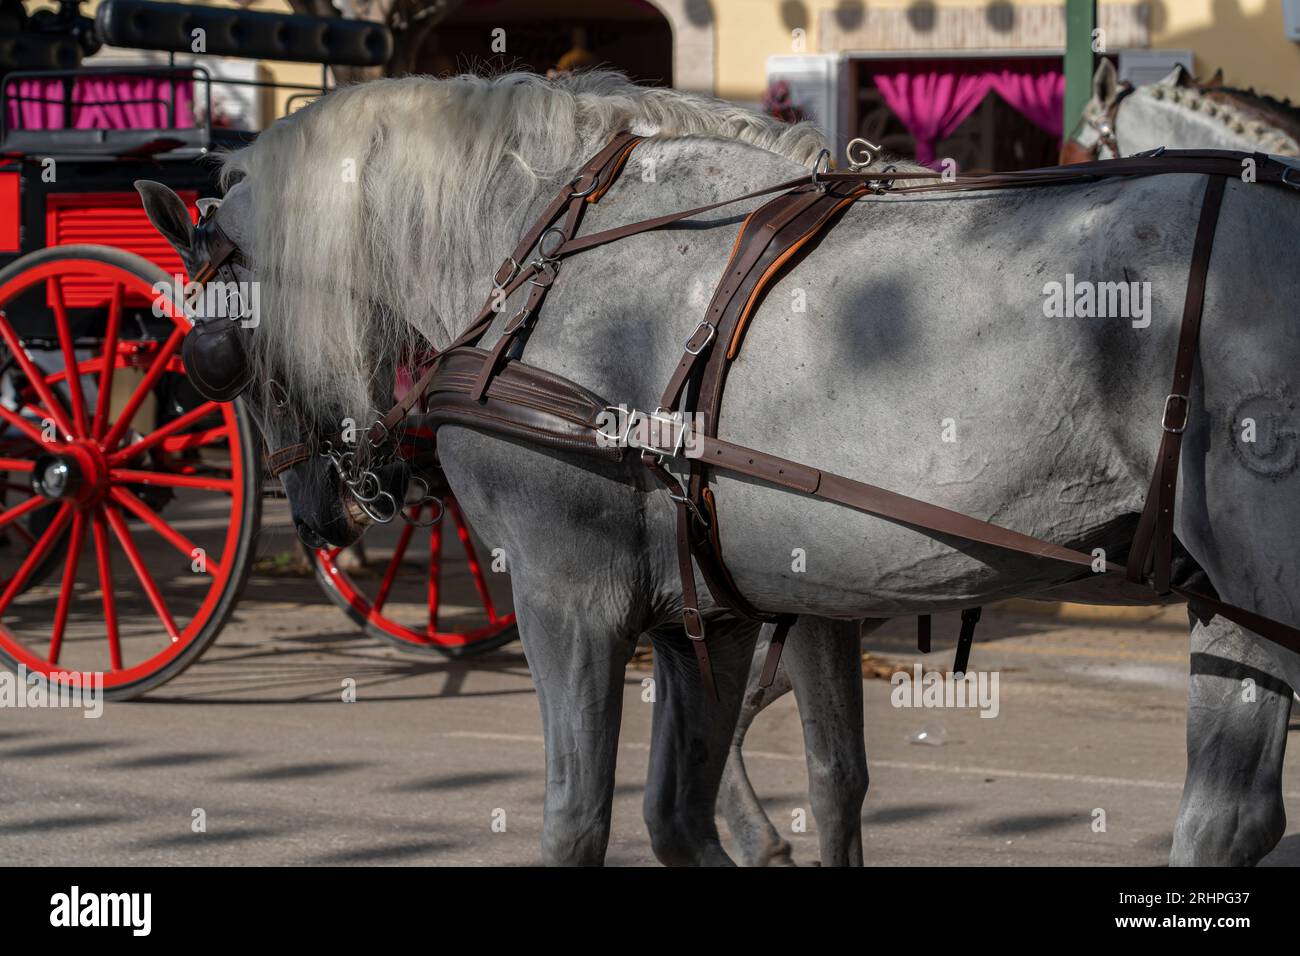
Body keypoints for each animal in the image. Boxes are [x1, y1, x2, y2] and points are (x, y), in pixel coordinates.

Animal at [139, 72, 1300, 868]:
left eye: (215, 357)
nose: (325, 511)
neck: (553, 257)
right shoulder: (717, 611)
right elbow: (693, 810)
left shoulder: (569, 598)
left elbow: (579, 820)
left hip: (1254, 591)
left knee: (1223, 817)